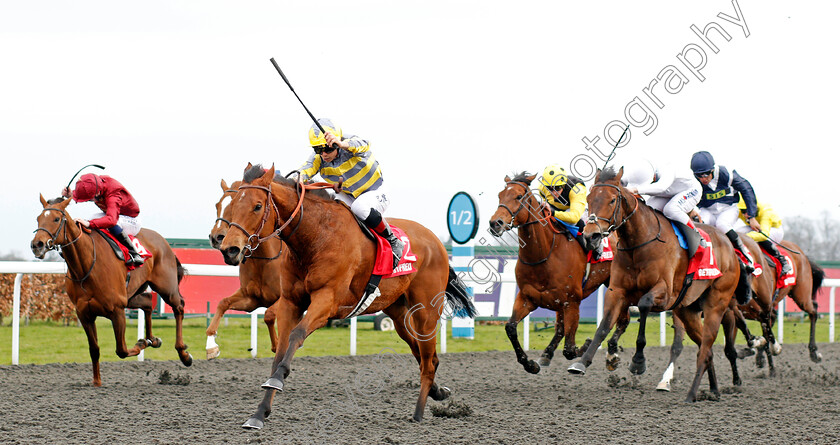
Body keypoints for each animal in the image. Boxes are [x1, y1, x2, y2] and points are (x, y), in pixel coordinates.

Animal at [30, 194, 193, 386]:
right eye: (38, 218)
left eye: (56, 219)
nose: (37, 244)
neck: (86, 267)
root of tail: (164, 242)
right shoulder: (84, 314)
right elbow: (94, 349)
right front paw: (97, 382)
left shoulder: (117, 310)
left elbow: (121, 350)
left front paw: (141, 343)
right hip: (131, 295)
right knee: (147, 302)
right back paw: (153, 339)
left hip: (166, 288)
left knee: (179, 307)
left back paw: (183, 354)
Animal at [206, 177, 286, 358]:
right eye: (217, 205)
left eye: (233, 206)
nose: (216, 237)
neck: (264, 259)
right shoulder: (251, 298)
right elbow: (223, 303)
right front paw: (211, 345)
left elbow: (270, 315)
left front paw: (278, 345)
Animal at [220, 165, 476, 428]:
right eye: (232, 205)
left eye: (257, 206)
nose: (230, 249)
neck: (315, 236)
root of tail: (436, 242)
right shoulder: (290, 303)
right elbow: (280, 350)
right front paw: (259, 413)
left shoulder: (327, 301)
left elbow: (297, 335)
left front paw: (277, 380)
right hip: (398, 313)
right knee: (423, 354)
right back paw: (438, 391)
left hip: (426, 311)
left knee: (427, 358)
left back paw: (418, 413)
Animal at [486, 172, 616, 372]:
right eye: (500, 195)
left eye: (518, 196)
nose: (495, 223)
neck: (545, 254)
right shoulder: (527, 298)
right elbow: (510, 327)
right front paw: (530, 364)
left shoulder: (572, 302)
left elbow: (569, 349)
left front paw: (584, 346)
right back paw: (547, 355)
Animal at [568, 167, 740, 402]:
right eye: (589, 198)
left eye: (612, 200)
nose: (591, 235)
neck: (639, 242)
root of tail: (729, 246)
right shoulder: (616, 291)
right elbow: (603, 326)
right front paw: (582, 362)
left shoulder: (664, 293)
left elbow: (643, 304)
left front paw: (638, 362)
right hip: (687, 310)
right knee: (707, 350)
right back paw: (713, 390)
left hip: (717, 304)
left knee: (706, 348)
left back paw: (693, 393)